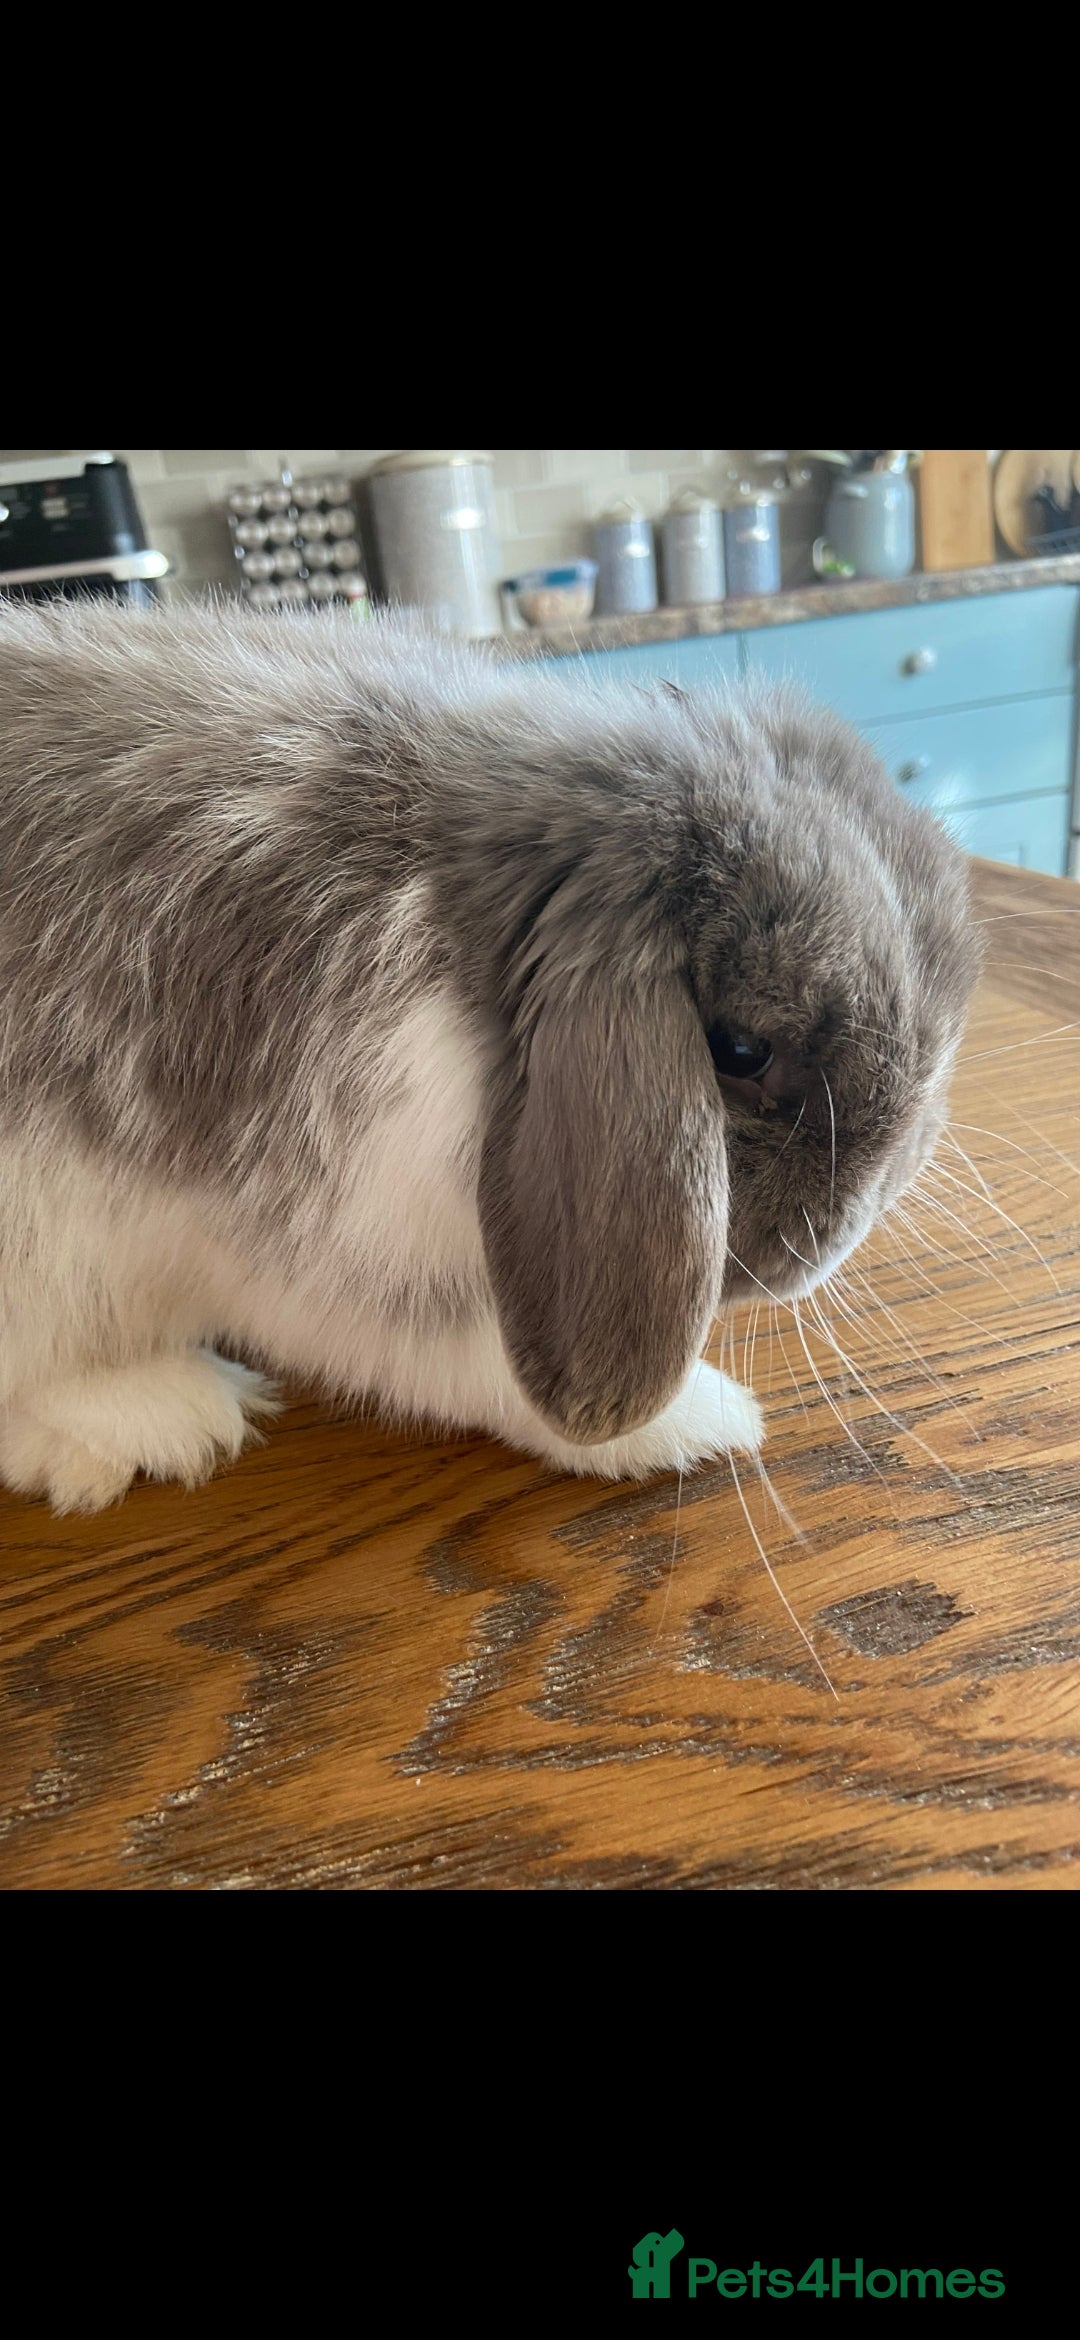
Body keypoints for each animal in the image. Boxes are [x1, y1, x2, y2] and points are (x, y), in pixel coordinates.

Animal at [0, 597, 979, 1515]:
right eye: (740, 1050)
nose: (873, 1201)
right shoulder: (332, 1256)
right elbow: (472, 1365)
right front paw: (700, 1422)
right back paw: (168, 1421)